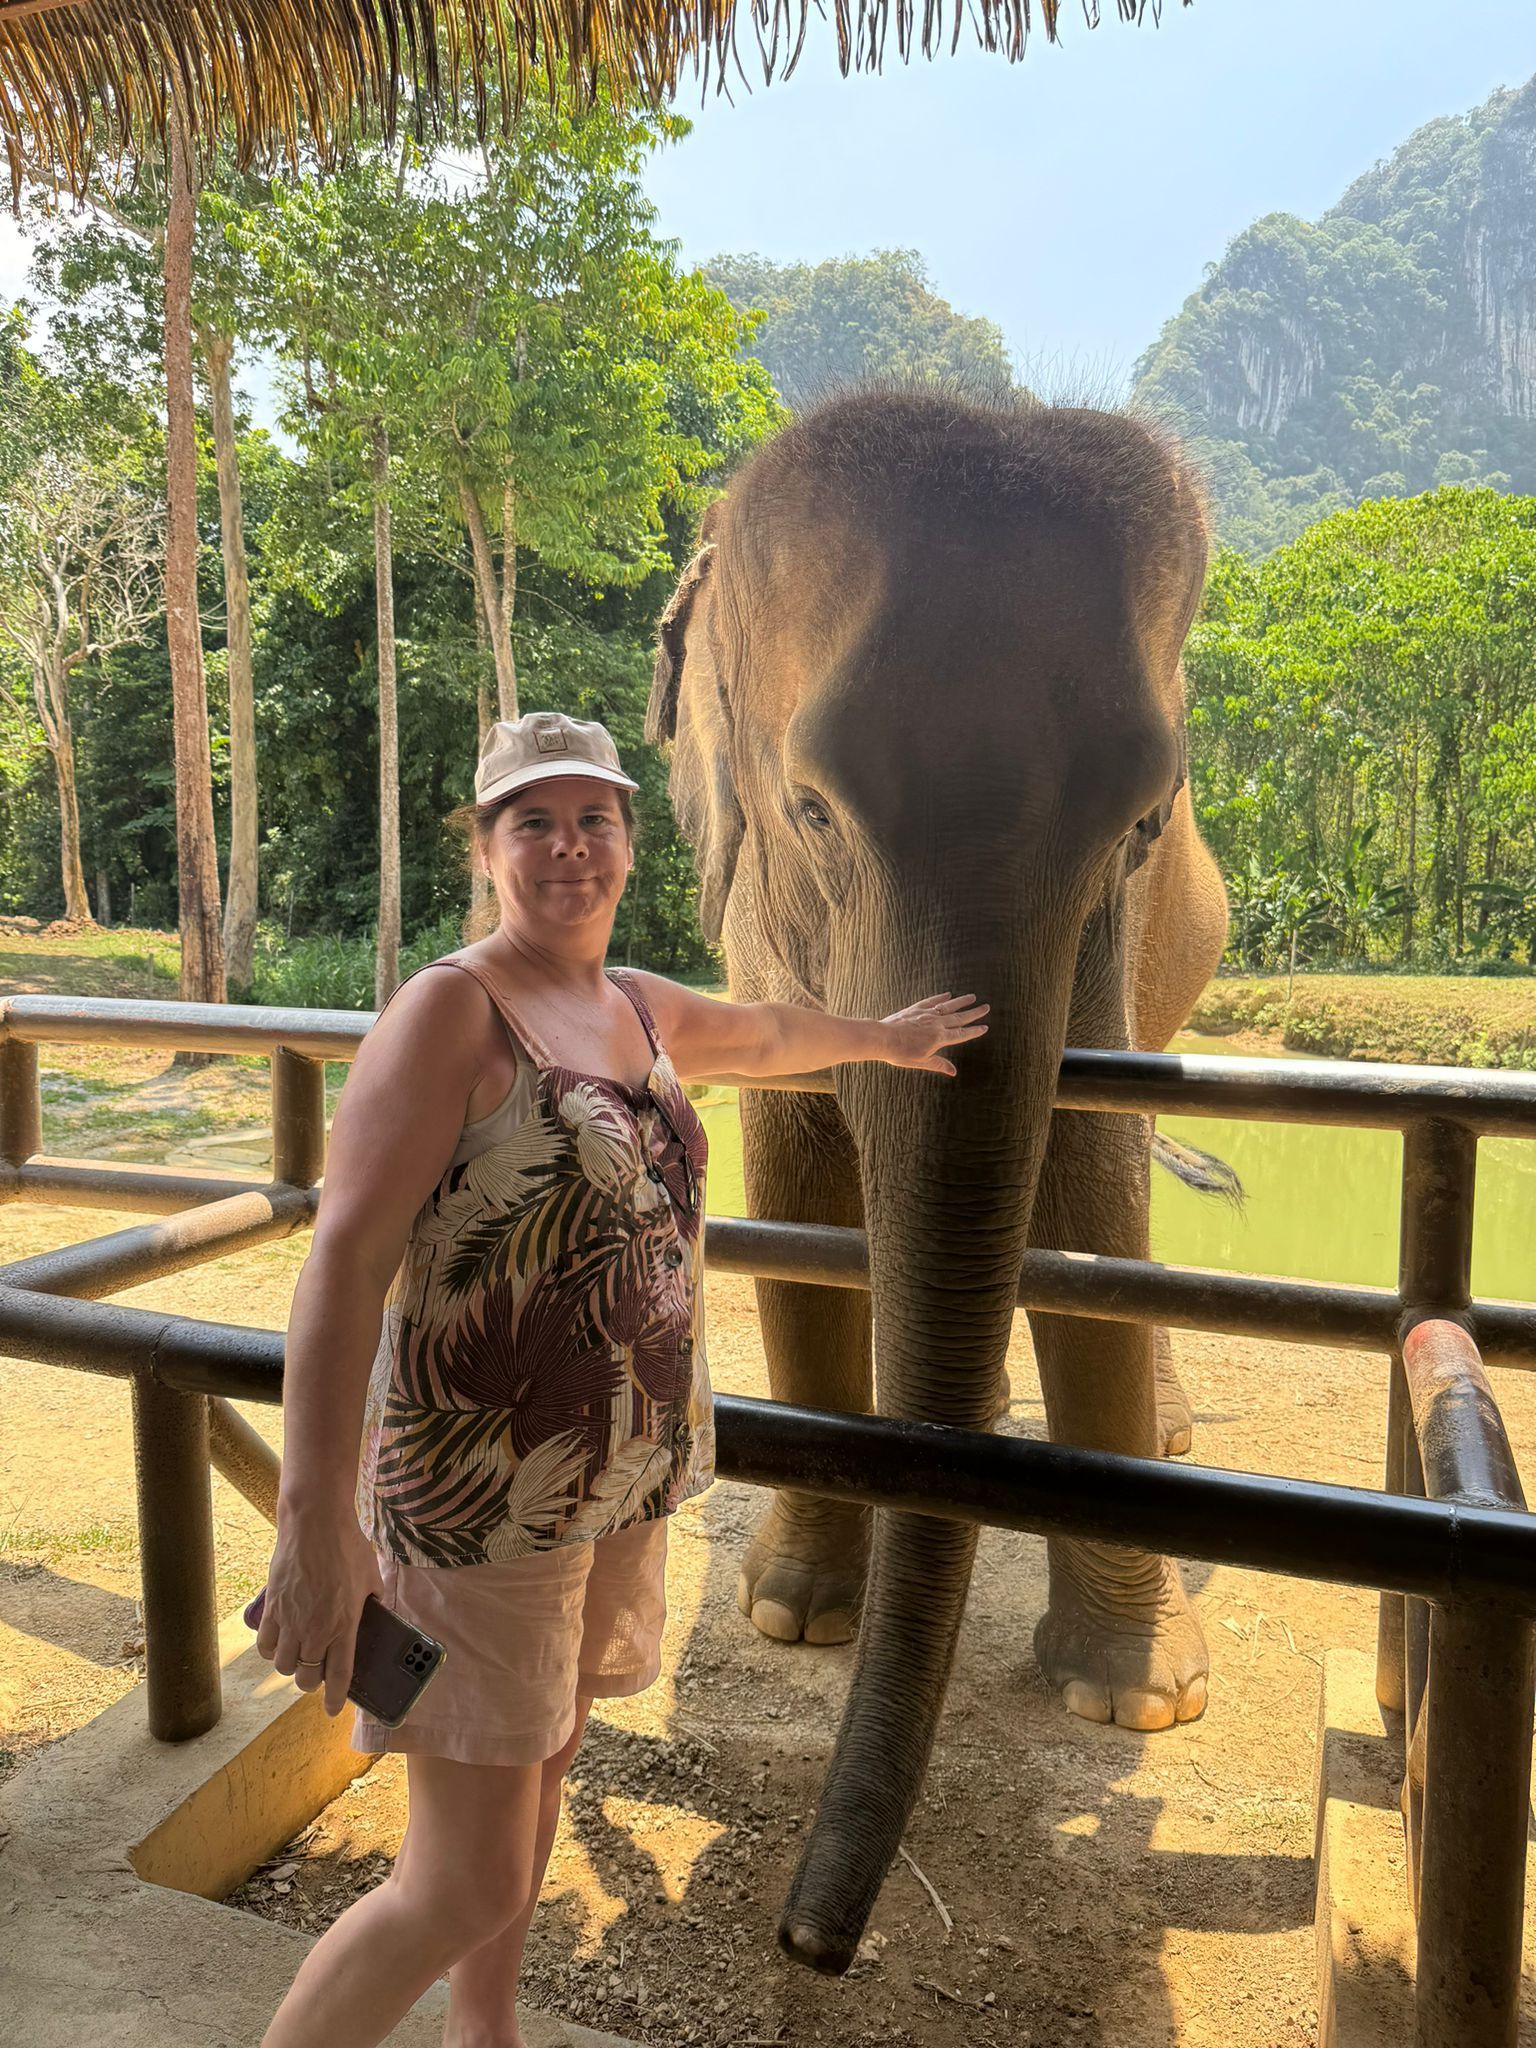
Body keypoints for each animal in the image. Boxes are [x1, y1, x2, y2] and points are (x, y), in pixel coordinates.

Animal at [647, 385, 1228, 1966]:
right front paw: (793, 1618)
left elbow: (1092, 1182)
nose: (809, 1940)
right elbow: (792, 1179)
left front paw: (1137, 1698)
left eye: (1144, 821)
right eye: (811, 808)